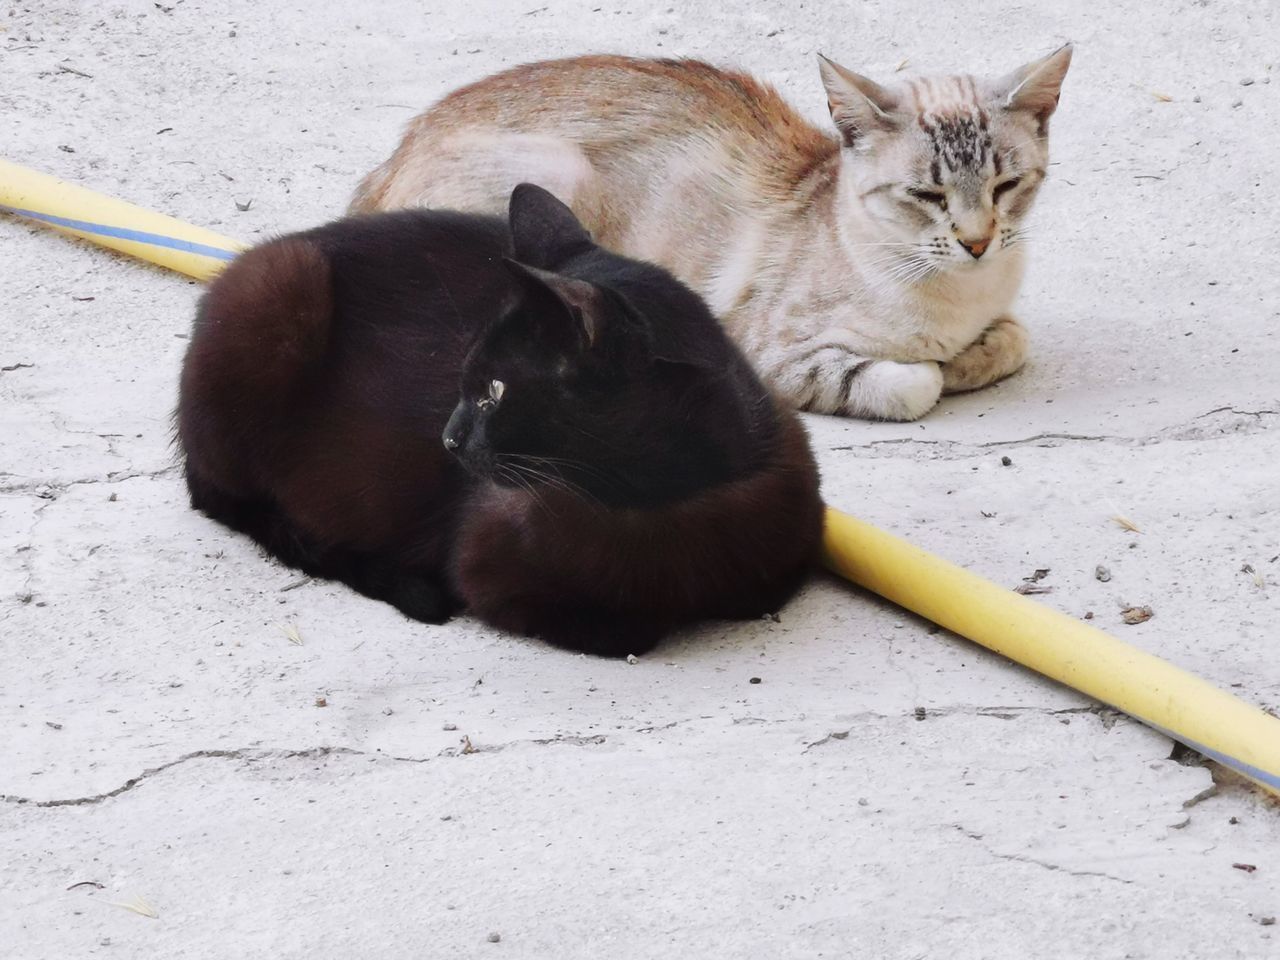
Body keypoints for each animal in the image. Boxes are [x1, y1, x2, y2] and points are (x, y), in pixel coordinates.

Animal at [175, 184, 824, 660]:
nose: (447, 437)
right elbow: (628, 630)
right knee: (232, 501)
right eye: (467, 377)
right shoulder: (493, 575)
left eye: (495, 391)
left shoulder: (786, 533)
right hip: (277, 284)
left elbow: (759, 588)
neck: (654, 509)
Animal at [348, 45, 1070, 419]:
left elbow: (1013, 341)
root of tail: (387, 163)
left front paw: (970, 355)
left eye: (1007, 187)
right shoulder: (772, 355)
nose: (977, 242)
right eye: (926, 195)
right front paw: (939, 368)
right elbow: (914, 384)